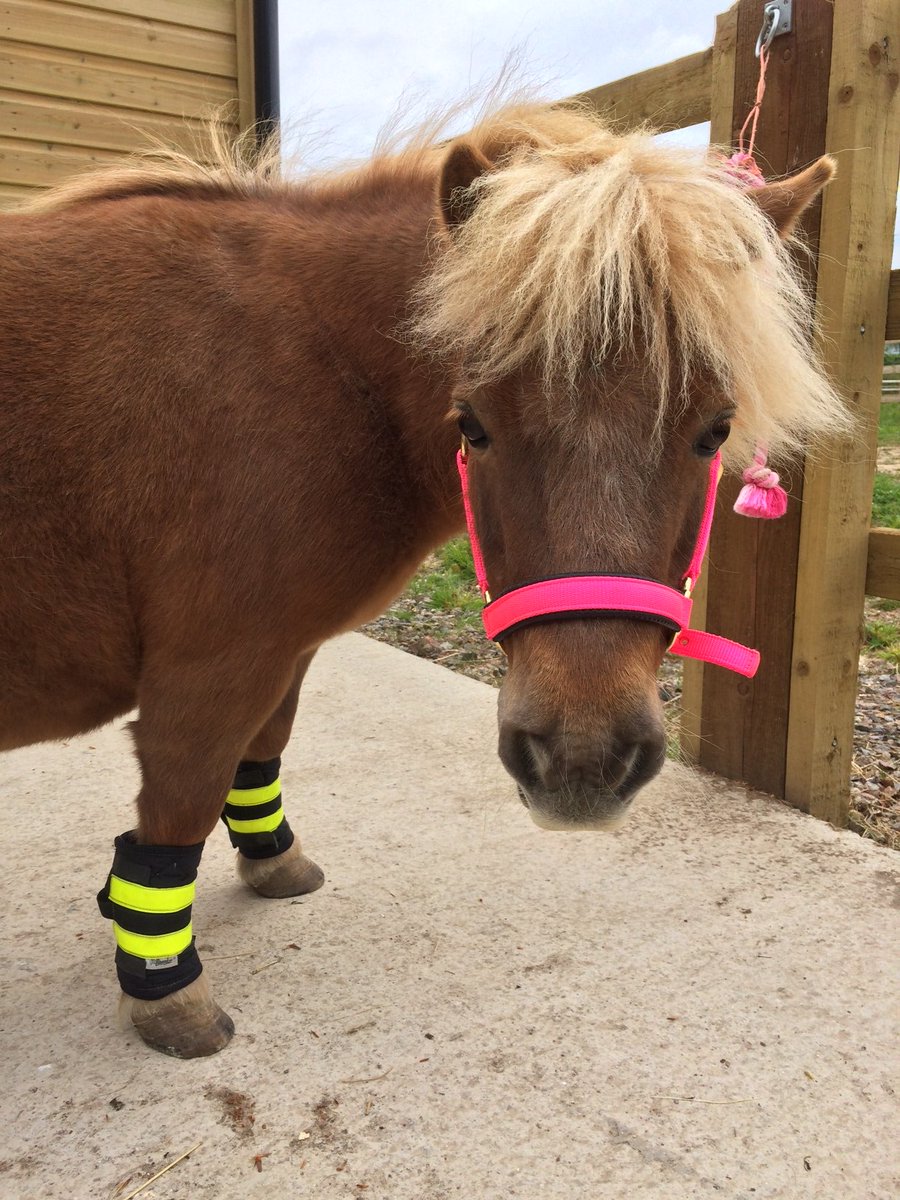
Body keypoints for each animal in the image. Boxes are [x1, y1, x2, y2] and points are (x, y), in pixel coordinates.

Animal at [0, 103, 847, 1058]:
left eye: (715, 430)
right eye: (471, 423)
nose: (582, 761)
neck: (313, 365)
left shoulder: (280, 652)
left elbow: (261, 750)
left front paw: (274, 865)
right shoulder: (209, 669)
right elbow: (182, 800)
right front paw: (165, 992)